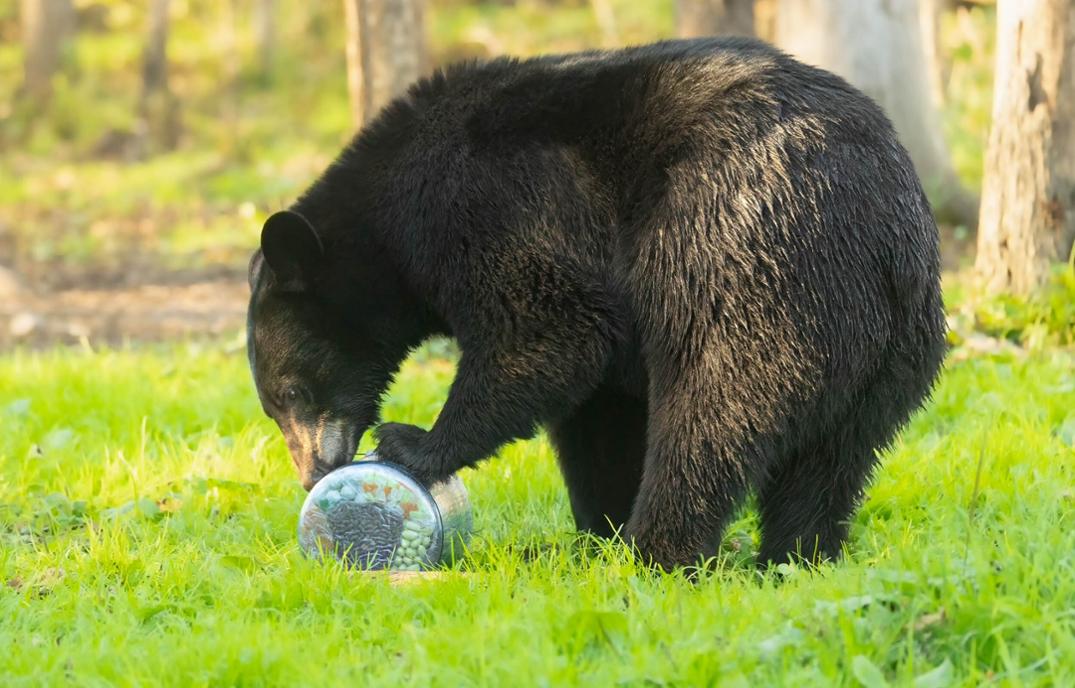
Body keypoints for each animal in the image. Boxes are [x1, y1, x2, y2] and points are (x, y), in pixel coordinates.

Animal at [246, 37, 947, 570]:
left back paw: (656, 552)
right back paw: (794, 557)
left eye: (290, 392)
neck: (392, 219)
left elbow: (550, 328)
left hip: (740, 260)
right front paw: (596, 527)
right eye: (274, 405)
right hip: (895, 351)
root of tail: (879, 229)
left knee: (709, 413)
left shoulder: (490, 201)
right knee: (830, 462)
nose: (313, 473)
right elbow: (598, 409)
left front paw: (411, 443)